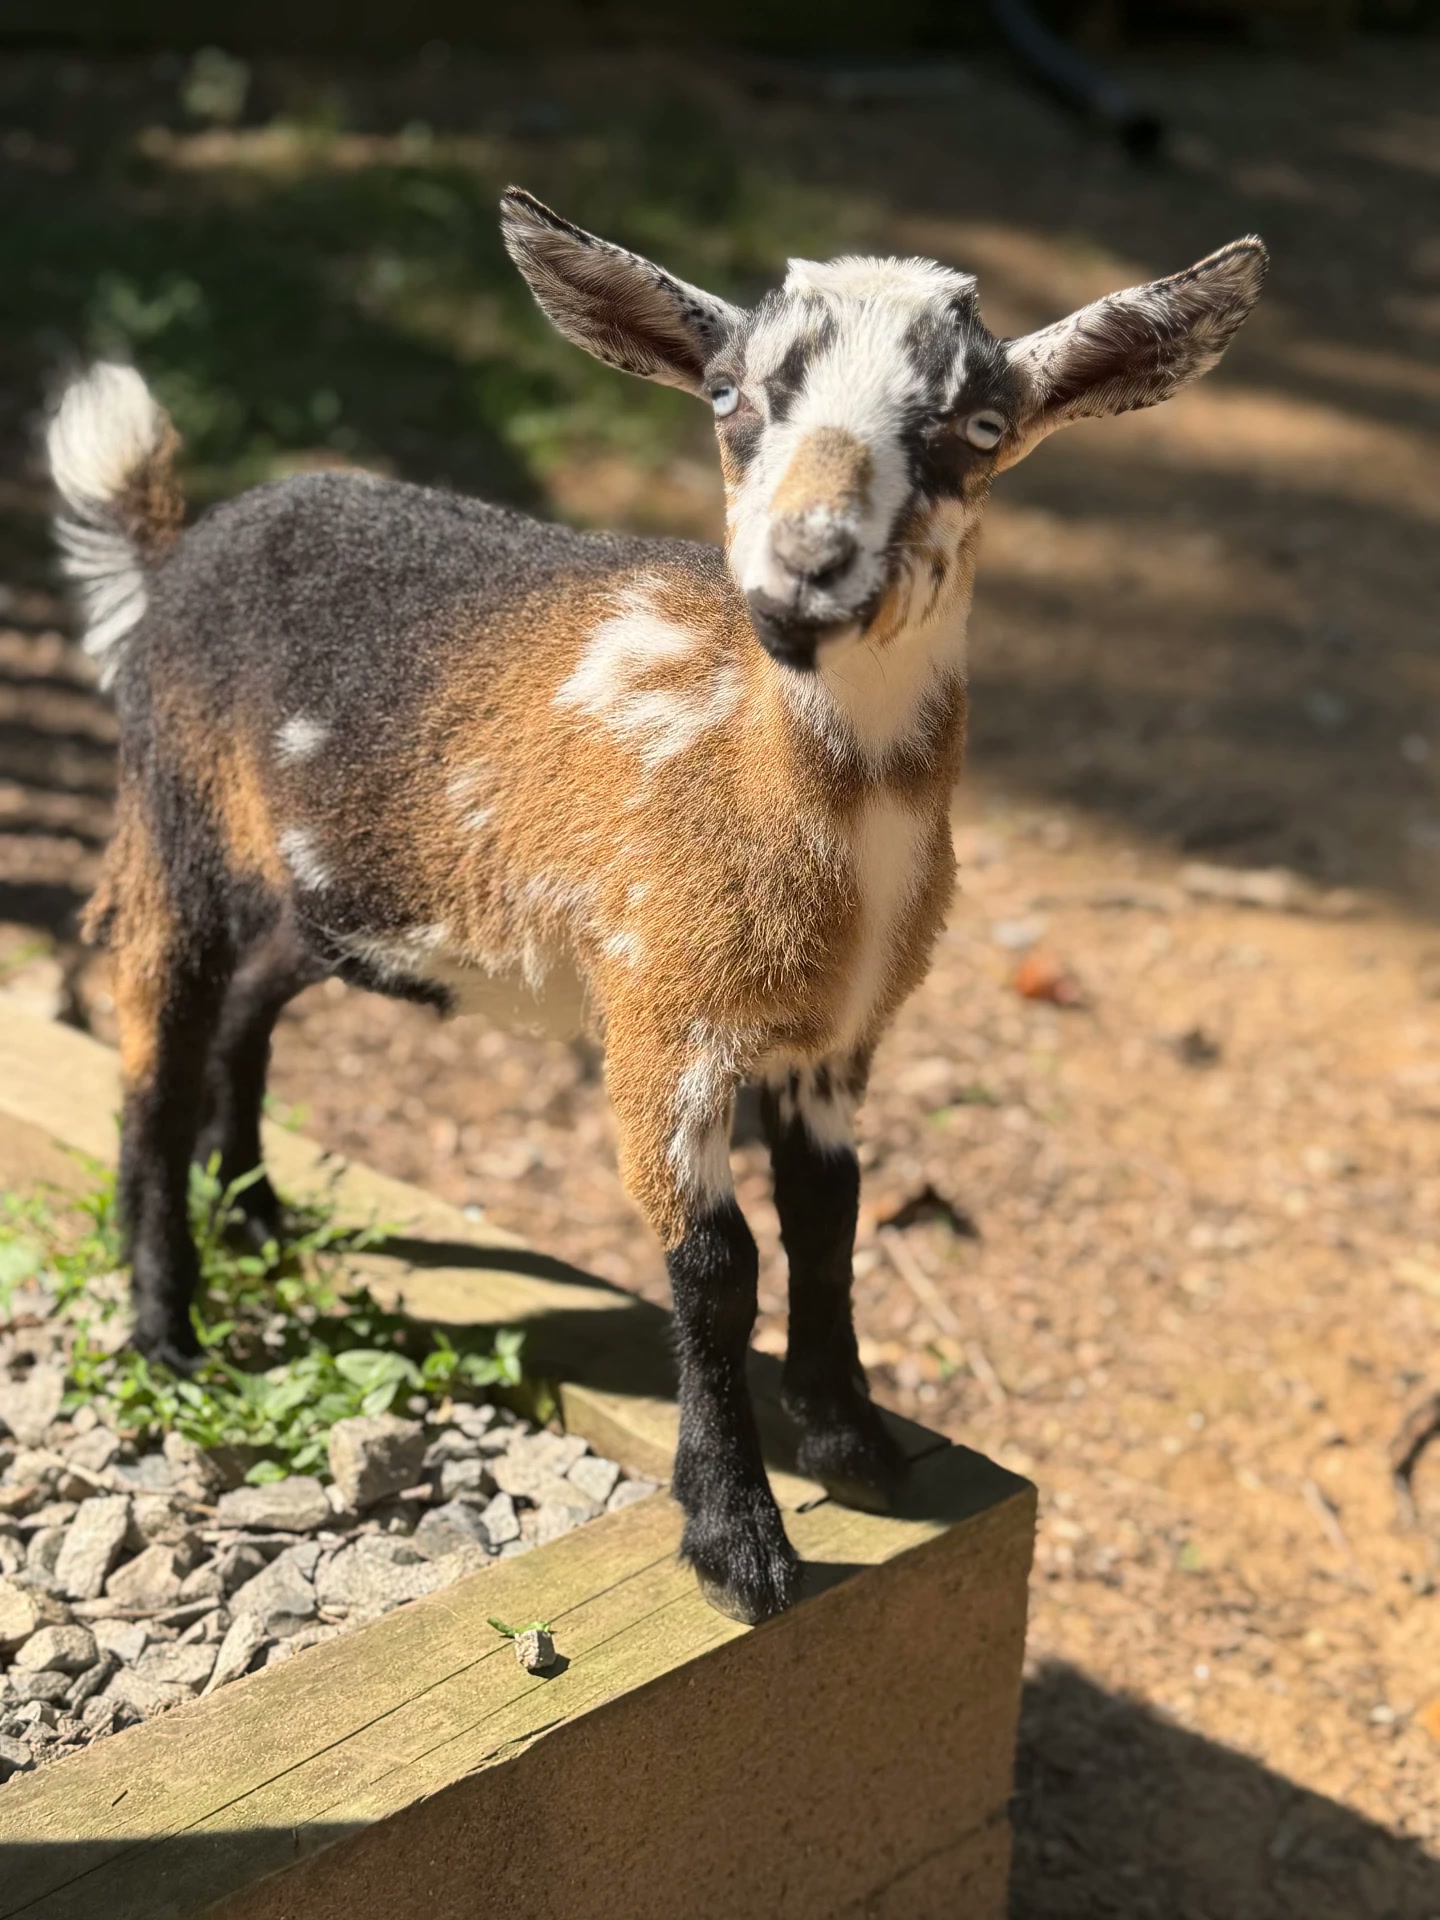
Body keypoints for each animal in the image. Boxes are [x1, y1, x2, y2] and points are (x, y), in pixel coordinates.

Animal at [50, 191, 1266, 1623]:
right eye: (730, 396)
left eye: (977, 426)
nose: (805, 569)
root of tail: (176, 548)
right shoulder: (658, 1016)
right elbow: (716, 1265)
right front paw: (738, 1540)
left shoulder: (835, 1040)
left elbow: (830, 1216)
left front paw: (854, 1441)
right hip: (171, 819)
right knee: (153, 1057)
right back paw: (168, 1331)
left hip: (344, 892)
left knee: (250, 1004)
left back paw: (253, 1207)